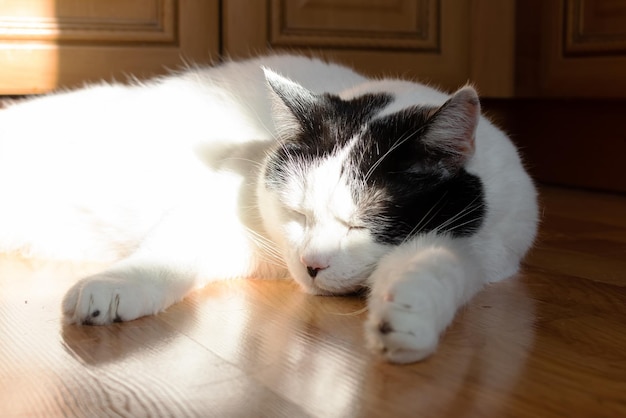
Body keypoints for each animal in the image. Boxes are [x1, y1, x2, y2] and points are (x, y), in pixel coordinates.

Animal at [0, 54, 536, 362]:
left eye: (362, 223)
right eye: (297, 213)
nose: (312, 265)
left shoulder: (476, 250)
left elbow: (434, 267)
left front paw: (407, 319)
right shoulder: (230, 211)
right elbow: (172, 250)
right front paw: (115, 285)